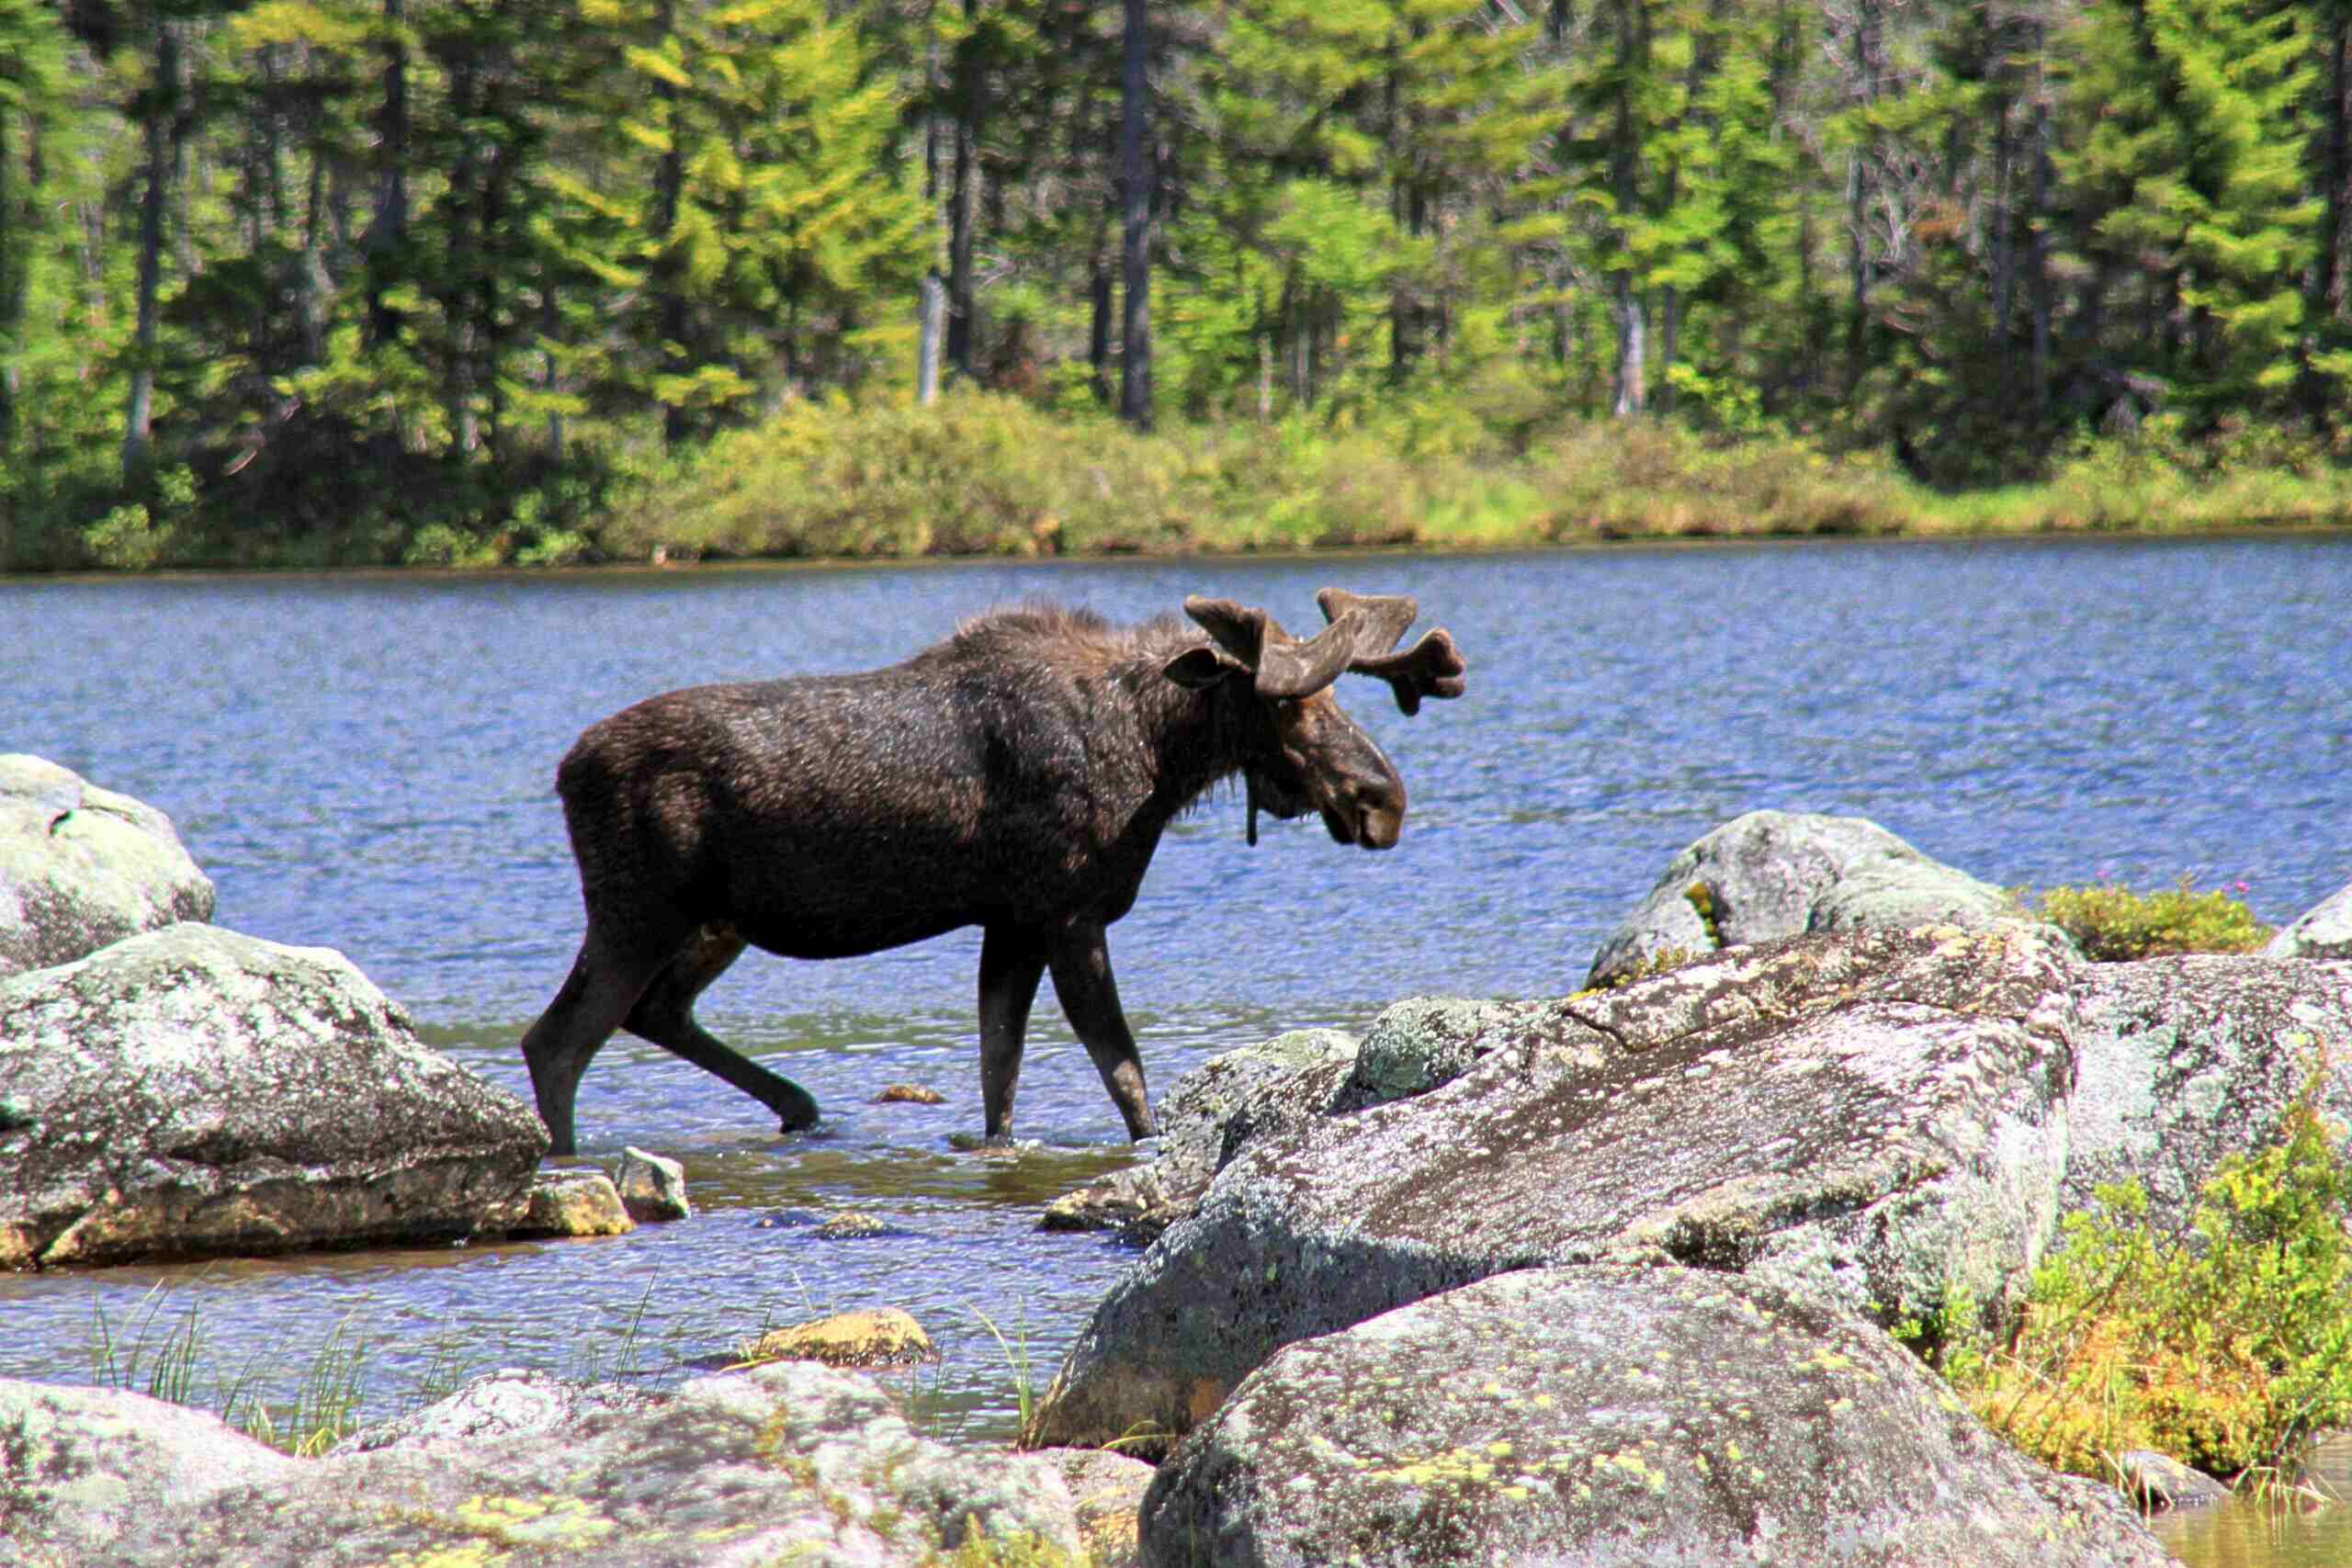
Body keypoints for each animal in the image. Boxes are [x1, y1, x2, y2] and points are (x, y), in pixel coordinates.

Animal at [519, 589, 1466, 1155]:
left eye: (1337, 696)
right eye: (1287, 704)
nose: (1383, 799)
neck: (1159, 755)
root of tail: (563, 772)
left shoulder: (1009, 920)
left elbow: (998, 1075)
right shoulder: (1069, 911)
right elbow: (1123, 1070)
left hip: (714, 922)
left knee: (653, 1010)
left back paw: (798, 1106)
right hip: (638, 909)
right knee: (559, 1039)